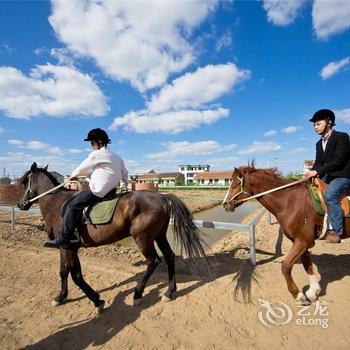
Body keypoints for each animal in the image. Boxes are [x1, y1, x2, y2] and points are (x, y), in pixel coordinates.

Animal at [17, 163, 209, 314]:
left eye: (25, 181)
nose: (20, 204)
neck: (56, 205)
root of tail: (162, 196)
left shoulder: (68, 247)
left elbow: (76, 275)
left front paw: (97, 300)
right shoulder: (64, 247)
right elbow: (64, 271)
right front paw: (60, 297)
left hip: (143, 238)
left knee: (154, 261)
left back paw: (138, 293)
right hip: (159, 235)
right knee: (169, 257)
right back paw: (169, 292)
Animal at [224, 164, 350, 304]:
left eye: (234, 185)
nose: (225, 204)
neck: (288, 201)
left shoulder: (303, 241)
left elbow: (286, 266)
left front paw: (298, 295)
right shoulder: (300, 241)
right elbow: (307, 263)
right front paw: (313, 292)